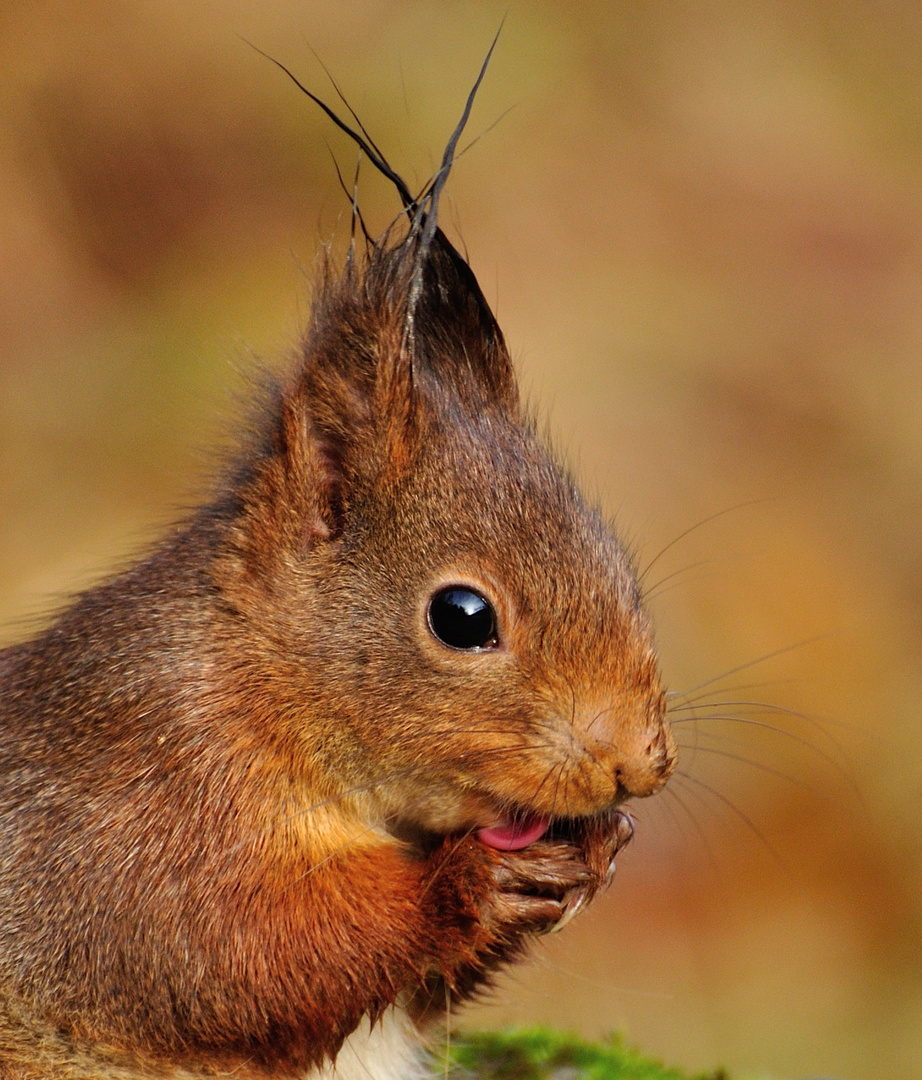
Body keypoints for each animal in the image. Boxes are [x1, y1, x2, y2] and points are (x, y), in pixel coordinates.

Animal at [0, 44, 678, 1080]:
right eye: (462, 618)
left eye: (620, 568)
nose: (637, 764)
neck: (259, 676)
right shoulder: (130, 811)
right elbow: (226, 947)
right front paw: (470, 881)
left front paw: (601, 848)